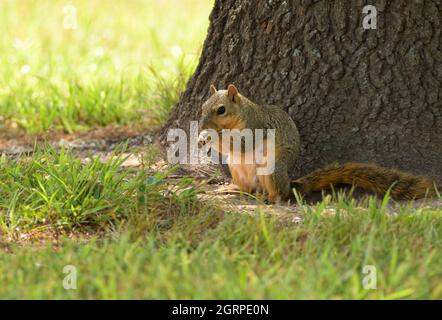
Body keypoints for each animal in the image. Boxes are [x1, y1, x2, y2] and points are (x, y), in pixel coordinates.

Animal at [199, 84, 440, 201]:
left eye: (221, 110)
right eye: (202, 106)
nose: (202, 125)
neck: (240, 115)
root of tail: (290, 184)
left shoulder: (256, 127)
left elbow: (242, 145)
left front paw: (211, 136)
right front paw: (202, 137)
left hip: (272, 169)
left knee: (279, 194)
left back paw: (270, 198)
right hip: (236, 167)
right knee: (247, 189)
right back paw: (230, 189)